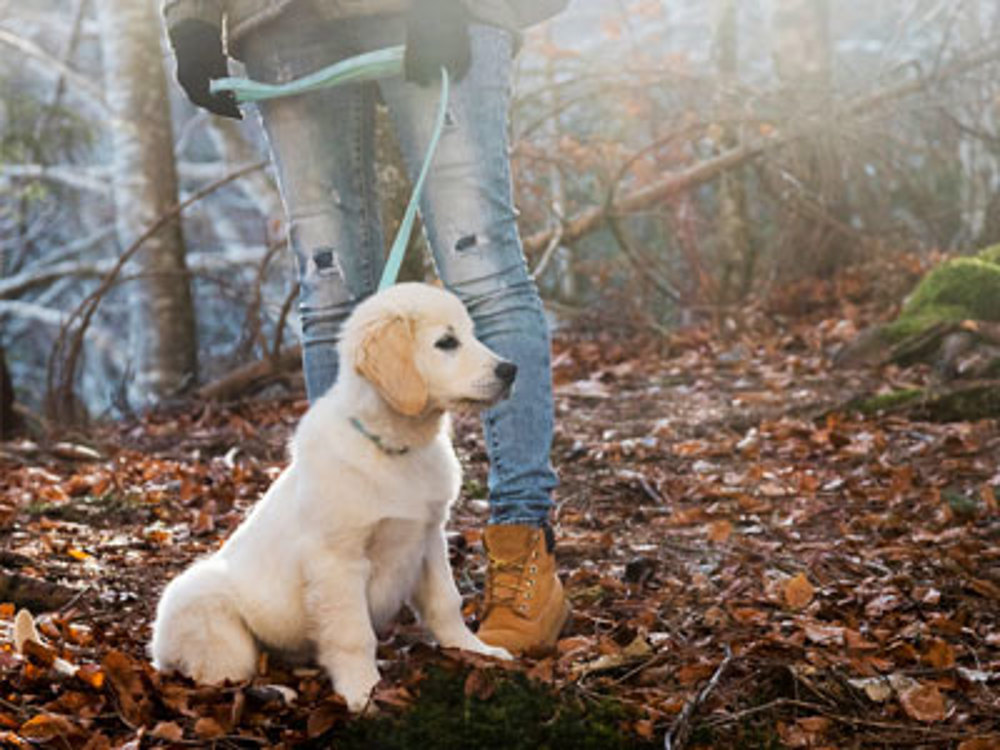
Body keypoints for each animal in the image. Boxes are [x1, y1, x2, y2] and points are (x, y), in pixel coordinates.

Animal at [154, 282, 524, 712]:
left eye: (471, 333)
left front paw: (476, 650)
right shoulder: (337, 561)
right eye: (446, 342)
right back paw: (276, 692)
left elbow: (446, 603)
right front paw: (364, 692)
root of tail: (156, 651)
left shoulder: (428, 537)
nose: (511, 370)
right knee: (221, 680)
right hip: (210, 616)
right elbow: (354, 634)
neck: (393, 447)